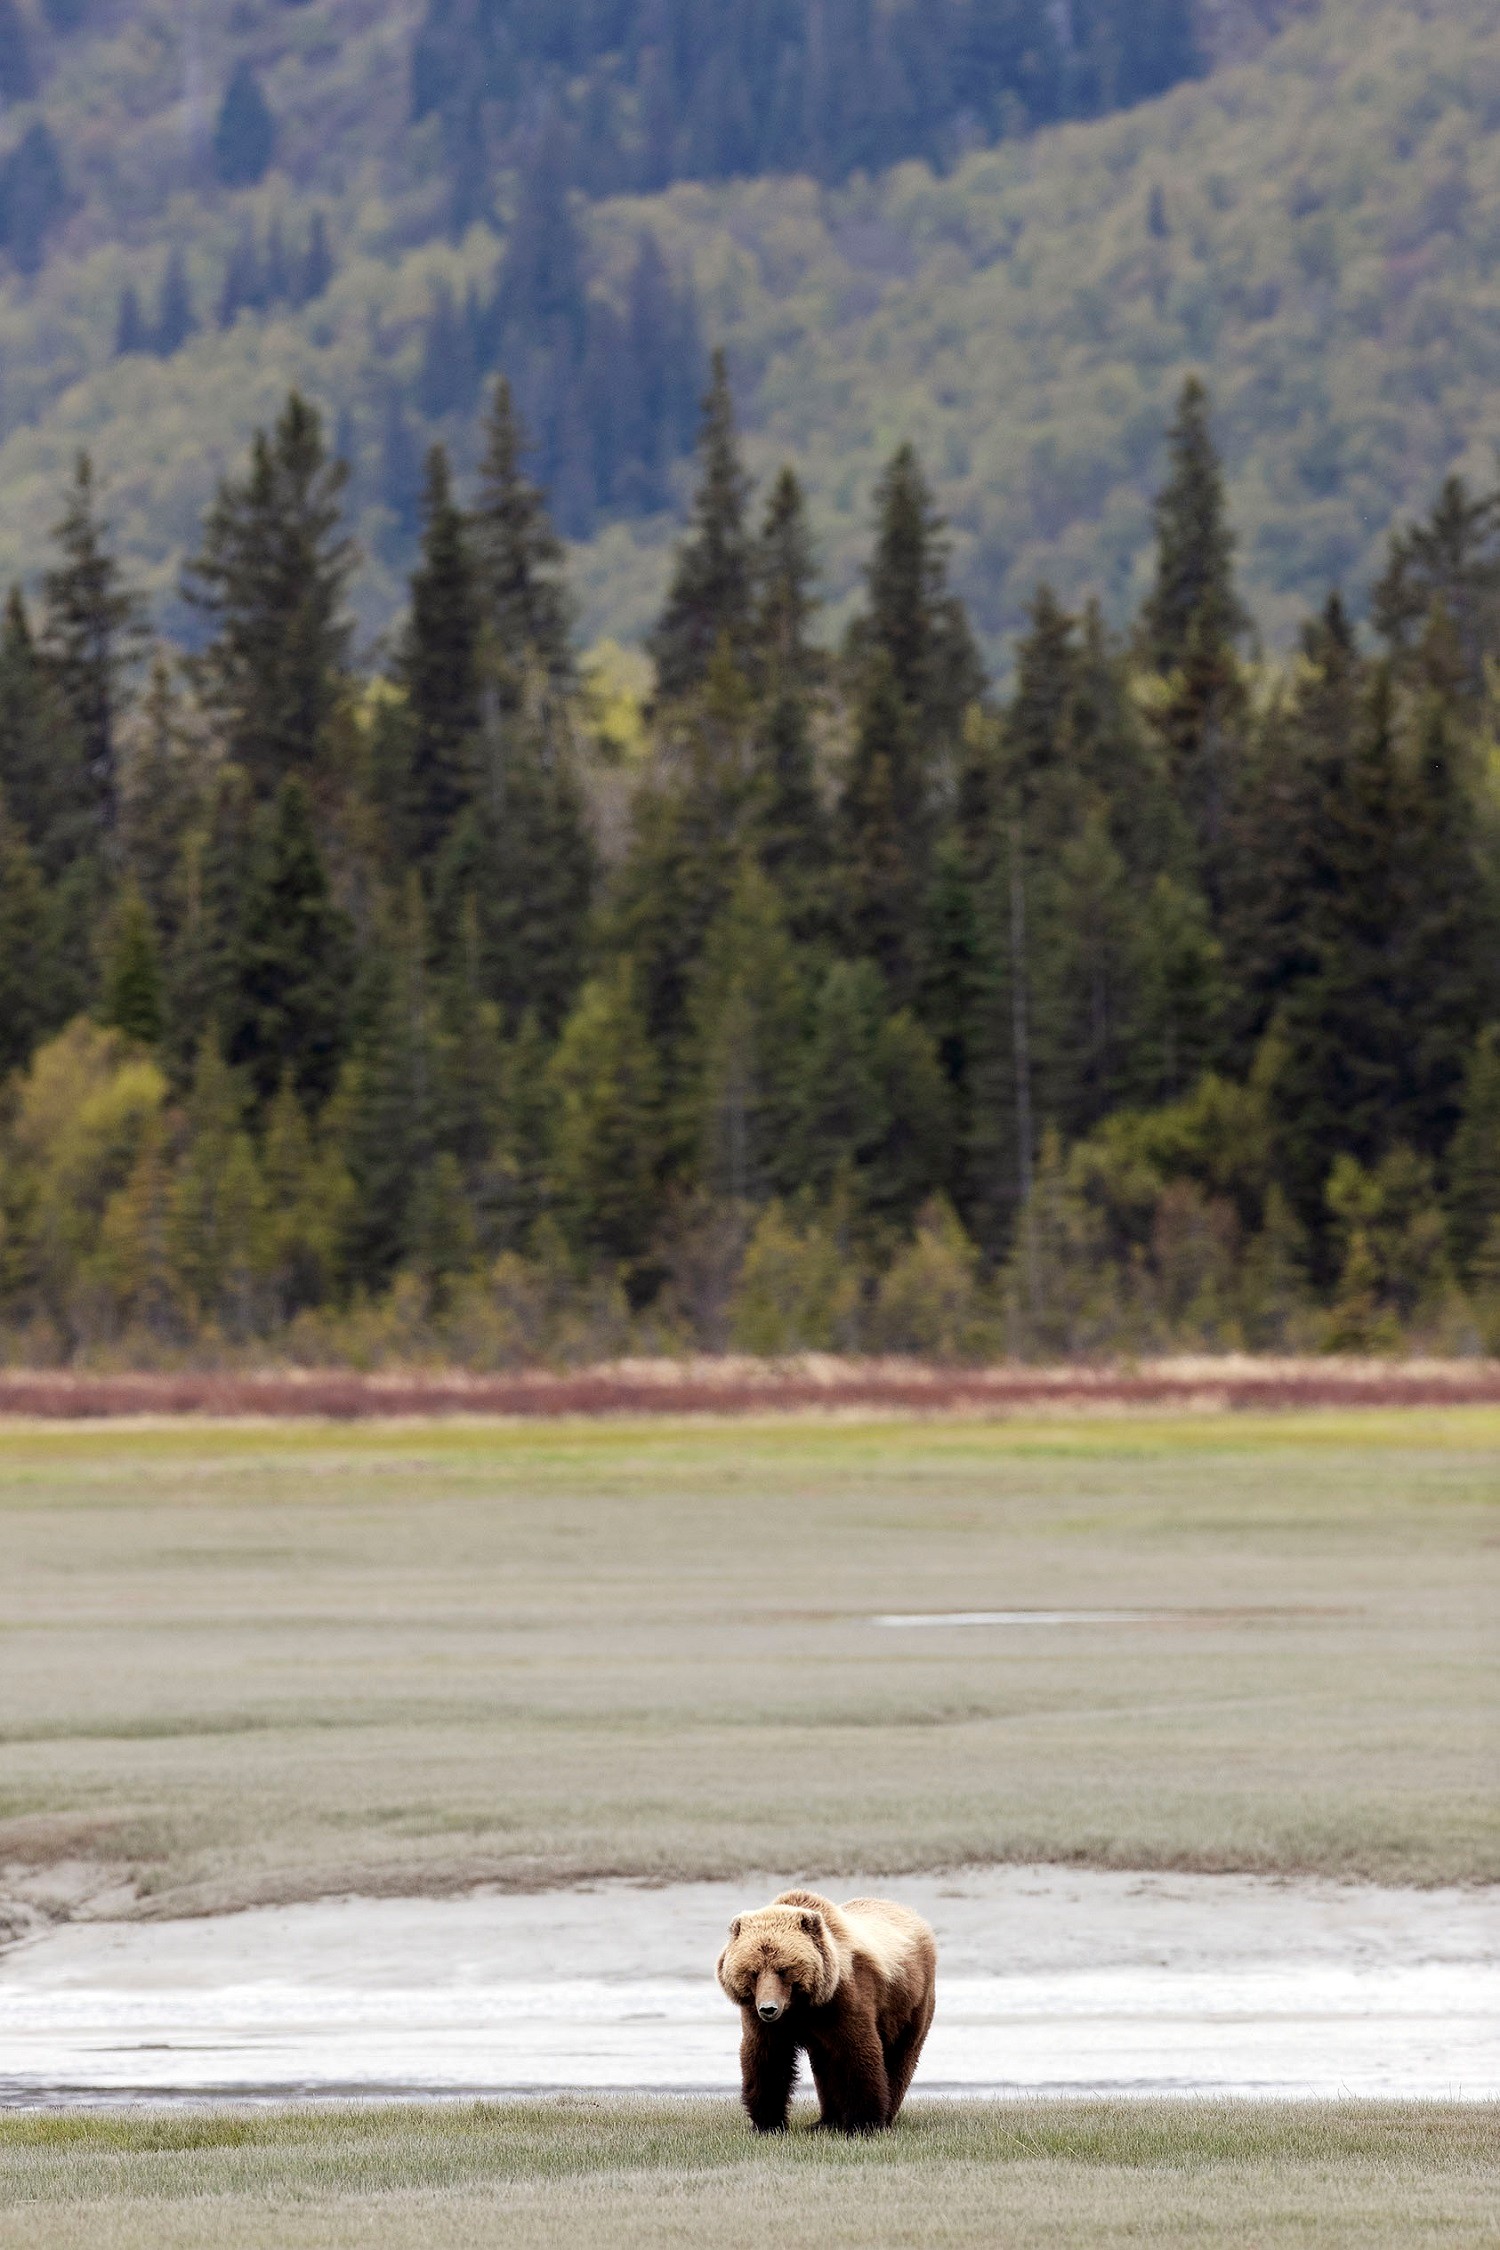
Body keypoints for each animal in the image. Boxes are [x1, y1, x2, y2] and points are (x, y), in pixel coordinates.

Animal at [716, 1888, 937, 2133]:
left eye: (783, 1969)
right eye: (753, 1972)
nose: (768, 2009)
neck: (800, 2006)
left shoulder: (844, 2001)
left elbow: (857, 2053)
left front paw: (863, 2123)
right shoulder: (765, 2021)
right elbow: (768, 2059)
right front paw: (767, 2123)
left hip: (911, 2001)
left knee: (901, 2055)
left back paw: (884, 2116)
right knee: (824, 2068)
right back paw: (825, 2121)